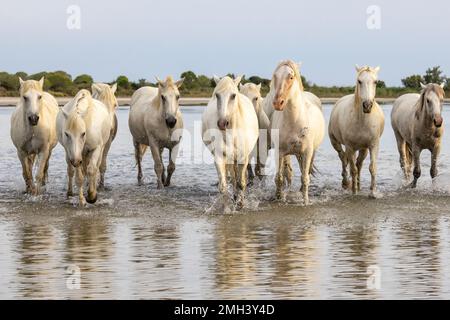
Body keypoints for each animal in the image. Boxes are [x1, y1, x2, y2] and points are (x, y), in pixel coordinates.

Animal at [202, 76, 258, 209]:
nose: (222, 123)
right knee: (232, 178)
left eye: (233, 95)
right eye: (217, 95)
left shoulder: (243, 158)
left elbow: (241, 183)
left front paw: (241, 204)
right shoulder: (220, 157)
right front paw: (226, 206)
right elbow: (223, 187)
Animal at [268, 60, 326, 205]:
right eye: (275, 76)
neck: (293, 121)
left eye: (291, 77)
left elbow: (305, 178)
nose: (278, 103)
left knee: (306, 172)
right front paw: (279, 198)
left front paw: (305, 202)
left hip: (310, 153)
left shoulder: (307, 152)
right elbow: (279, 177)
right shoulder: (279, 152)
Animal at [328, 65, 384, 198]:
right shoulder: (350, 147)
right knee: (343, 158)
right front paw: (354, 192)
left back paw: (358, 185)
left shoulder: (373, 145)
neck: (362, 121)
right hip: (336, 143)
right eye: (359, 81)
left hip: (363, 149)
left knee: (359, 164)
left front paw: (372, 193)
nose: (367, 105)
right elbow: (352, 169)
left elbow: (372, 167)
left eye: (375, 82)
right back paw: (346, 183)